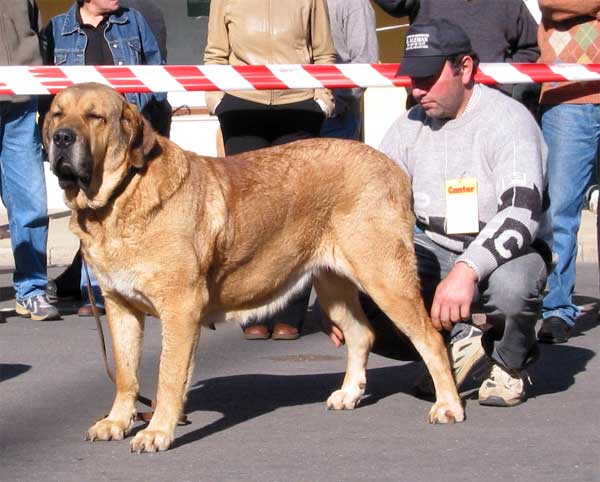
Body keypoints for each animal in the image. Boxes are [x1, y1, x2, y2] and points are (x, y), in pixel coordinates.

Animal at [43, 82, 464, 452]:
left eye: (96, 117)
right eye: (57, 114)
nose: (61, 138)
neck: (119, 197)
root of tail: (392, 167)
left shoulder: (180, 309)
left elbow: (167, 376)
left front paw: (157, 432)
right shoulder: (120, 306)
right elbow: (126, 373)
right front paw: (116, 422)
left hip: (386, 277)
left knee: (431, 339)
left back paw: (447, 406)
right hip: (332, 284)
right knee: (362, 334)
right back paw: (348, 394)